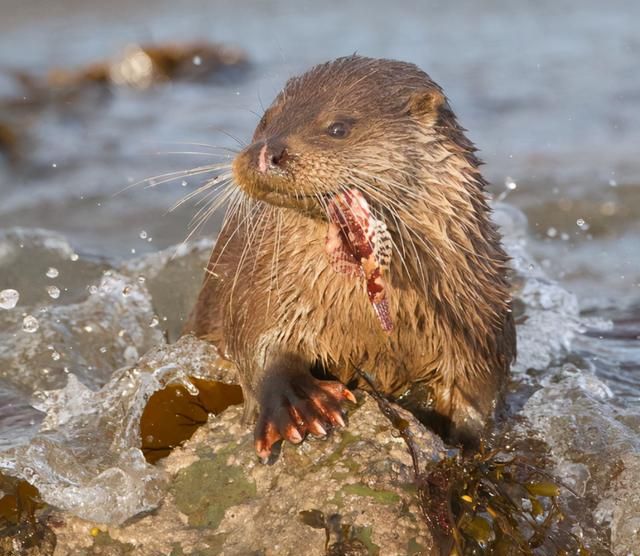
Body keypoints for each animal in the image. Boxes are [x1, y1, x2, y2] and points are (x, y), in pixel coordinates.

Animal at [184, 55, 516, 456]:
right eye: (265, 120)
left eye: (338, 128)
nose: (267, 151)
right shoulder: (259, 283)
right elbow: (256, 346)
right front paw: (300, 402)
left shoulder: (482, 323)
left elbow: (479, 397)